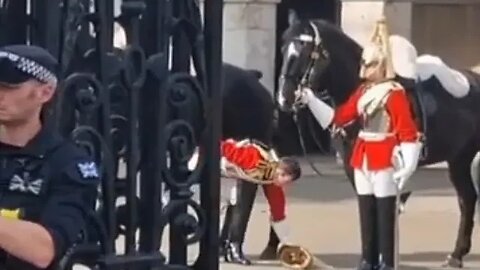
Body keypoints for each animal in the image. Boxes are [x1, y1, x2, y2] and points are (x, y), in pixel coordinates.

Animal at [276, 13, 480, 268]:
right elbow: (368, 206)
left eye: (306, 52)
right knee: (467, 198)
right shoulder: (353, 166)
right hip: (458, 160)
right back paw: (456, 255)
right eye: (284, 49)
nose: (284, 97)